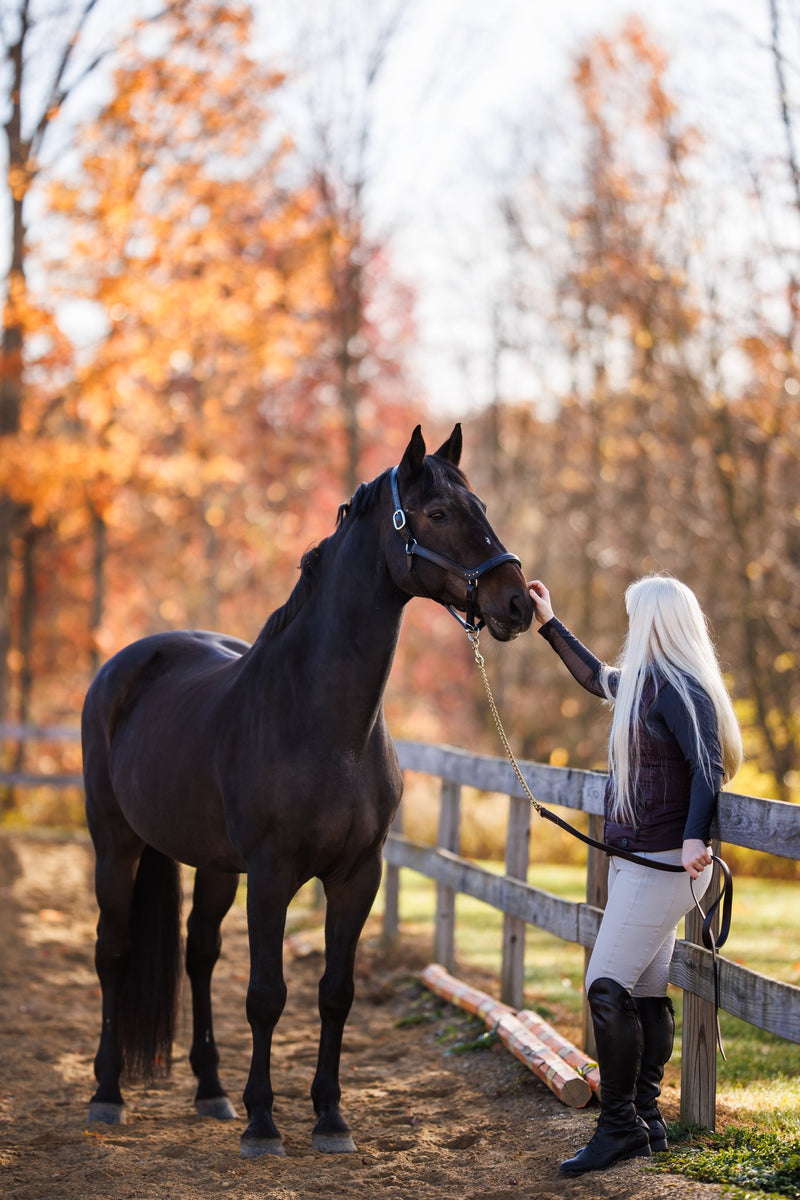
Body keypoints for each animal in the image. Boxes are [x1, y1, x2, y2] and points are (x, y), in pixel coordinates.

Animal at [81, 422, 534, 1152]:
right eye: (438, 513)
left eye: (482, 507)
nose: (516, 602)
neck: (327, 725)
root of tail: (126, 665)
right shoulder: (271, 875)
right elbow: (267, 995)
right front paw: (265, 1123)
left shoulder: (357, 875)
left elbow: (334, 992)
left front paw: (330, 1117)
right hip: (115, 844)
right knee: (114, 953)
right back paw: (107, 1093)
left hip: (214, 866)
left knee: (199, 953)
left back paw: (210, 1091)